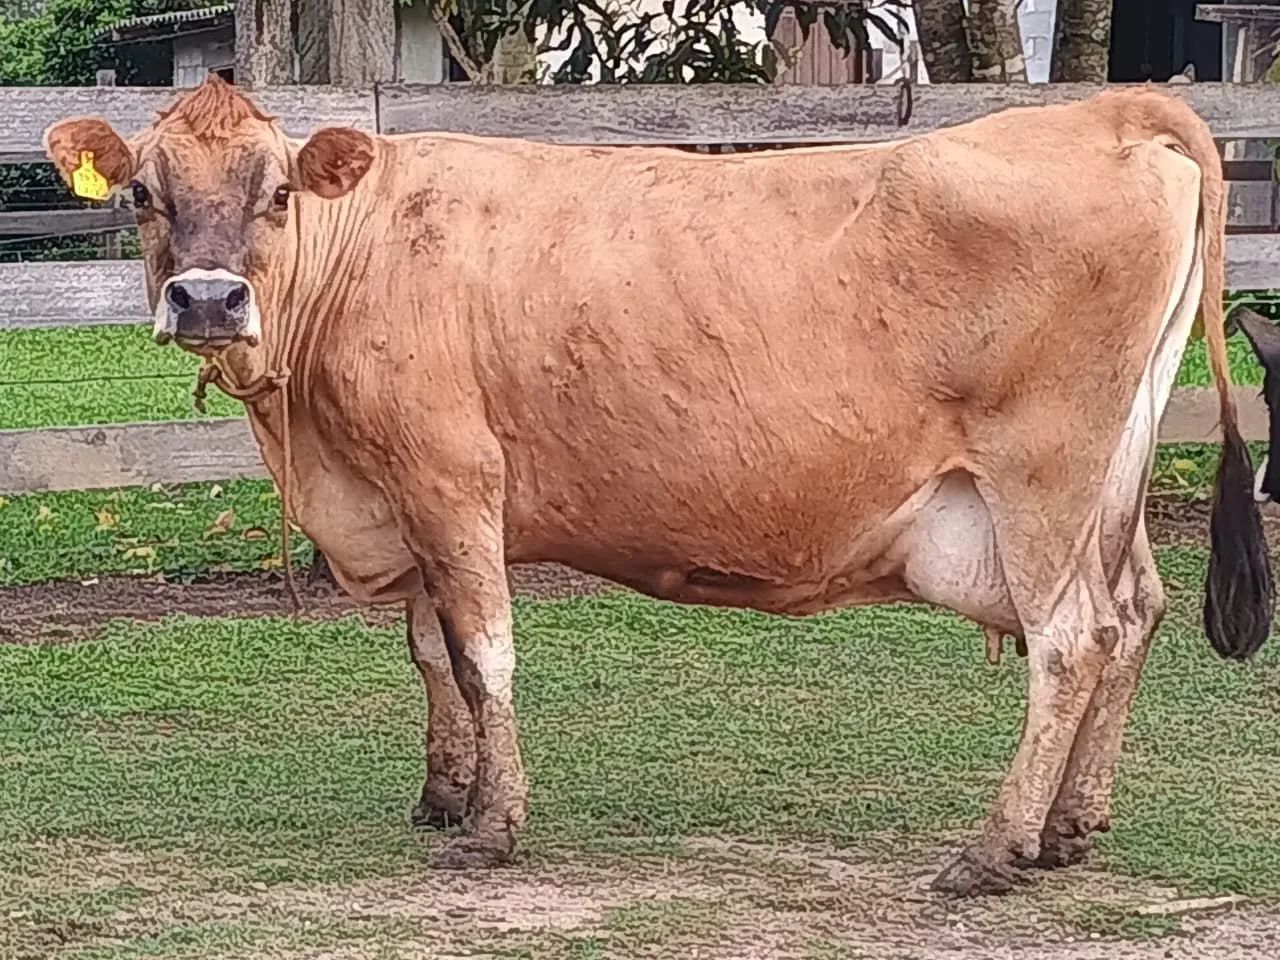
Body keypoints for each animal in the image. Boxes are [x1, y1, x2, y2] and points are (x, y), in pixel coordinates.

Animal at [43, 75, 1273, 897]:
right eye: (142, 193)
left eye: (278, 194)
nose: (209, 300)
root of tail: (1105, 112)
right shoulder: (404, 493)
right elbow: (431, 650)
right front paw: (444, 791)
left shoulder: (451, 474)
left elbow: (483, 653)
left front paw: (491, 824)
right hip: (1110, 481)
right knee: (1134, 611)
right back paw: (1070, 825)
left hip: (1041, 478)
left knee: (1070, 639)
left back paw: (994, 847)